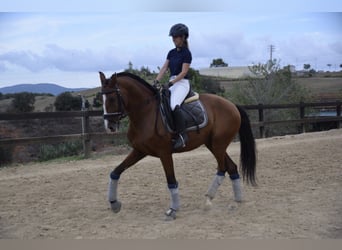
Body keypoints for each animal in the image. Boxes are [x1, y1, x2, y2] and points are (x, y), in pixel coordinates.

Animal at [99, 71, 256, 220]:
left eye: (112, 98)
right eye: (102, 99)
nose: (109, 126)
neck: (145, 113)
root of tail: (232, 105)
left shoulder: (164, 153)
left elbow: (171, 181)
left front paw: (172, 210)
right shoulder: (139, 151)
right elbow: (115, 172)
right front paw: (114, 204)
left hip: (218, 145)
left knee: (222, 168)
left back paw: (209, 200)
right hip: (213, 145)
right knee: (231, 167)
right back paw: (236, 201)